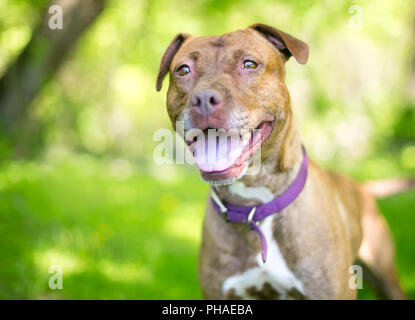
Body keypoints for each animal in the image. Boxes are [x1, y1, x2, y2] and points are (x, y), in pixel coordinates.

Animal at [155, 23, 412, 298]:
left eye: (249, 64)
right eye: (183, 70)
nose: (203, 99)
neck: (254, 204)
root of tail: (360, 188)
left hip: (386, 275)